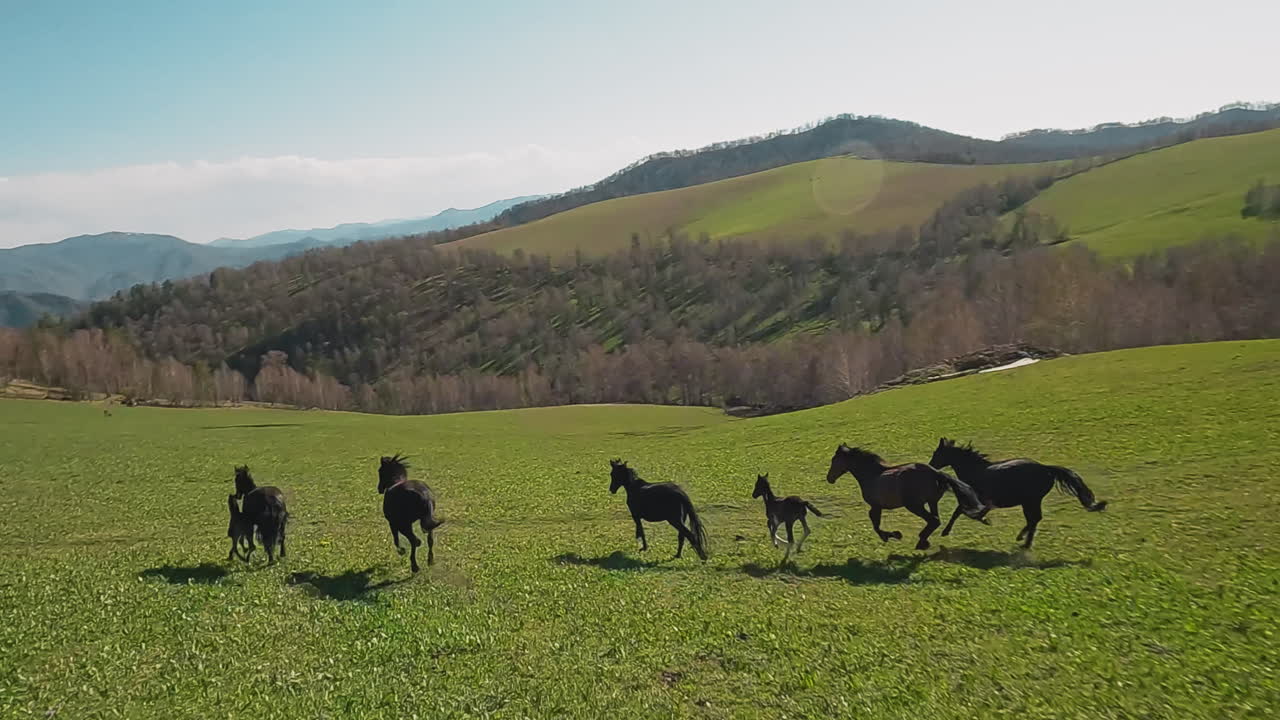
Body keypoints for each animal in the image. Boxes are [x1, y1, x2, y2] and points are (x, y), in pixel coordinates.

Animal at [826, 443, 988, 550]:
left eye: (834, 460)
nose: (829, 479)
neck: (872, 474)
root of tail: (935, 472)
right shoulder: (877, 506)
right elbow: (875, 523)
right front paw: (893, 535)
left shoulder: (876, 506)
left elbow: (875, 524)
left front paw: (893, 535)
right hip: (931, 502)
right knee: (936, 520)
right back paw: (924, 541)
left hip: (914, 505)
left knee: (933, 520)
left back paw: (921, 541)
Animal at [930, 438, 1107, 549]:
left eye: (936, 454)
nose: (930, 465)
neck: (975, 471)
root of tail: (1046, 468)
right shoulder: (985, 501)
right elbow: (971, 511)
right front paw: (983, 519)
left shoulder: (974, 499)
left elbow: (959, 512)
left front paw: (946, 532)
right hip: (1030, 501)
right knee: (1034, 519)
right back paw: (1022, 539)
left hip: (1031, 501)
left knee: (1034, 519)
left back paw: (1024, 543)